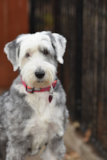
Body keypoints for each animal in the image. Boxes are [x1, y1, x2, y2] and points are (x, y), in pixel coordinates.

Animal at [0, 31, 68, 160]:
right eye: (27, 54)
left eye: (46, 51)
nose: (39, 73)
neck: (39, 92)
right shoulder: (17, 142)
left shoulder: (55, 138)